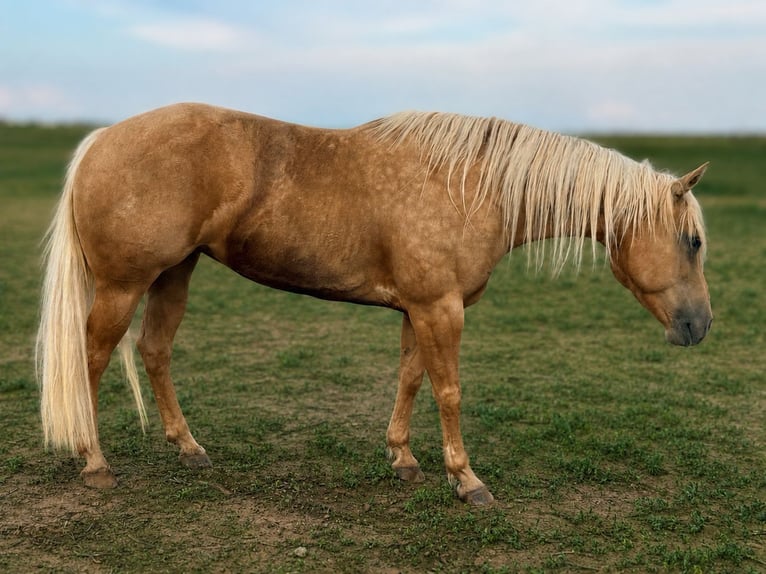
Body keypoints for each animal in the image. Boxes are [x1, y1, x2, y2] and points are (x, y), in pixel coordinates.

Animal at [37, 103, 712, 505]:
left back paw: (189, 448)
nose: (699, 326)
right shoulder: (441, 309)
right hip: (123, 286)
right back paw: (94, 461)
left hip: (174, 274)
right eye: (694, 241)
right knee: (91, 360)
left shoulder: (420, 308)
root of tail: (103, 139)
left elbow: (411, 379)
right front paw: (467, 480)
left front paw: (403, 459)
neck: (472, 185)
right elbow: (448, 390)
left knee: (155, 350)